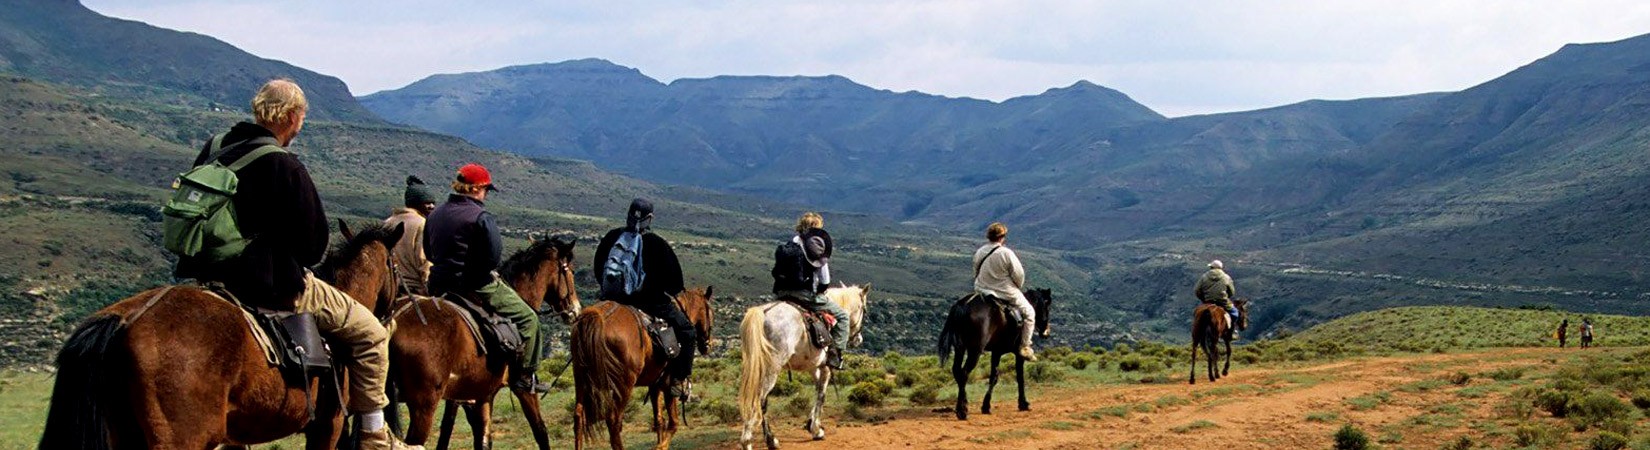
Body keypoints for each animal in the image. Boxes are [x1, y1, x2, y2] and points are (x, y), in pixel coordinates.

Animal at [386, 232, 580, 448]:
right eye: (571, 271)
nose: (575, 310)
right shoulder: (523, 389)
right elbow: (540, 431)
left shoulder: (481, 394)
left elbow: (479, 439)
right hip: (424, 404)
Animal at [570, 285, 712, 448]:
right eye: (710, 311)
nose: (707, 345)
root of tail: (597, 316)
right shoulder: (668, 385)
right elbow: (674, 423)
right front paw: (660, 446)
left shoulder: (655, 385)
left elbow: (659, 420)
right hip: (624, 385)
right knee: (613, 421)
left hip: (581, 380)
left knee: (579, 417)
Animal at [729, 283, 871, 448]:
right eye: (864, 310)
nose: (858, 339)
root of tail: (763, 312)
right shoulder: (825, 368)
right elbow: (822, 395)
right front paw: (816, 430)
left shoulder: (814, 368)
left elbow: (817, 391)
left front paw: (811, 424)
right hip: (772, 369)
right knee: (761, 400)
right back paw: (762, 440)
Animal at [937, 286, 1049, 420]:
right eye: (1047, 306)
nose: (1045, 332)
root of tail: (964, 305)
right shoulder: (1017, 353)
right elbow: (1020, 376)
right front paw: (1023, 403)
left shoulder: (996, 352)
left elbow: (993, 377)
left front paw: (986, 406)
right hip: (975, 350)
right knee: (964, 373)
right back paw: (962, 411)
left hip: (960, 348)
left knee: (957, 371)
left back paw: (963, 404)